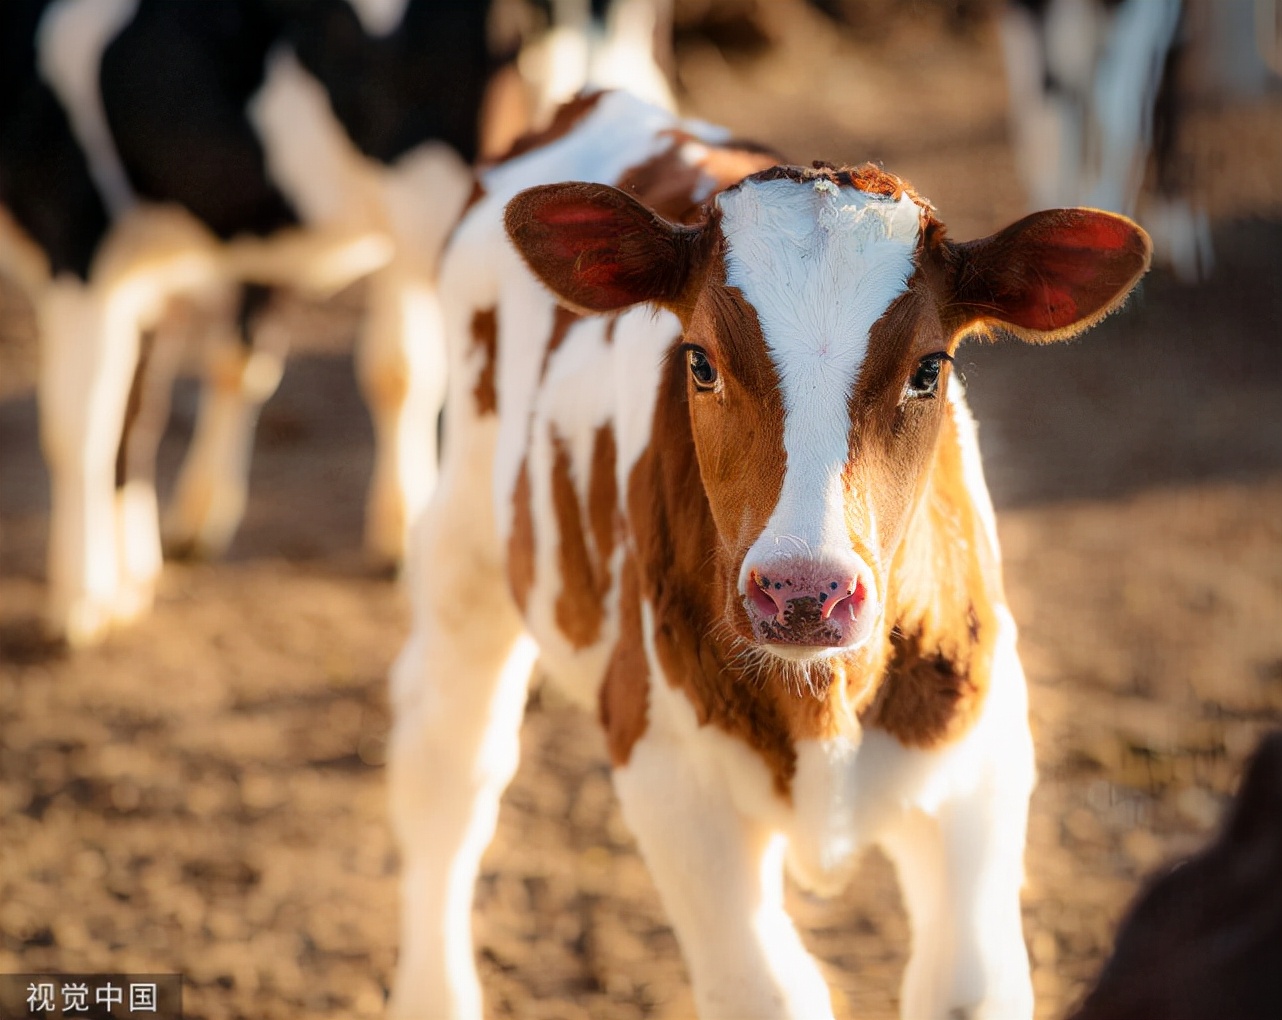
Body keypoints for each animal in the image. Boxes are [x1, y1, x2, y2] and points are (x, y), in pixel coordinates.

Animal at [389, 89, 1153, 1020]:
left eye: (929, 369)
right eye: (701, 362)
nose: (803, 592)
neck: (826, 700)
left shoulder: (981, 768)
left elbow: (966, 984)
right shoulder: (669, 776)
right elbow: (770, 989)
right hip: (466, 538)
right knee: (449, 767)